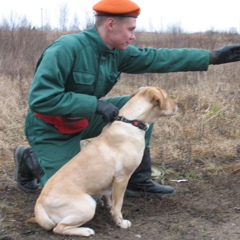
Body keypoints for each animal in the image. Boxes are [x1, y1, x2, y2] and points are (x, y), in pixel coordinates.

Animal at [29, 86, 177, 236]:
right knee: (59, 228)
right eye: (166, 97)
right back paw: (85, 231)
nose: (177, 105)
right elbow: (118, 205)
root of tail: (39, 205)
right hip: (87, 205)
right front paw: (120, 222)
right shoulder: (122, 178)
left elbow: (108, 196)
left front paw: (108, 205)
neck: (131, 122)